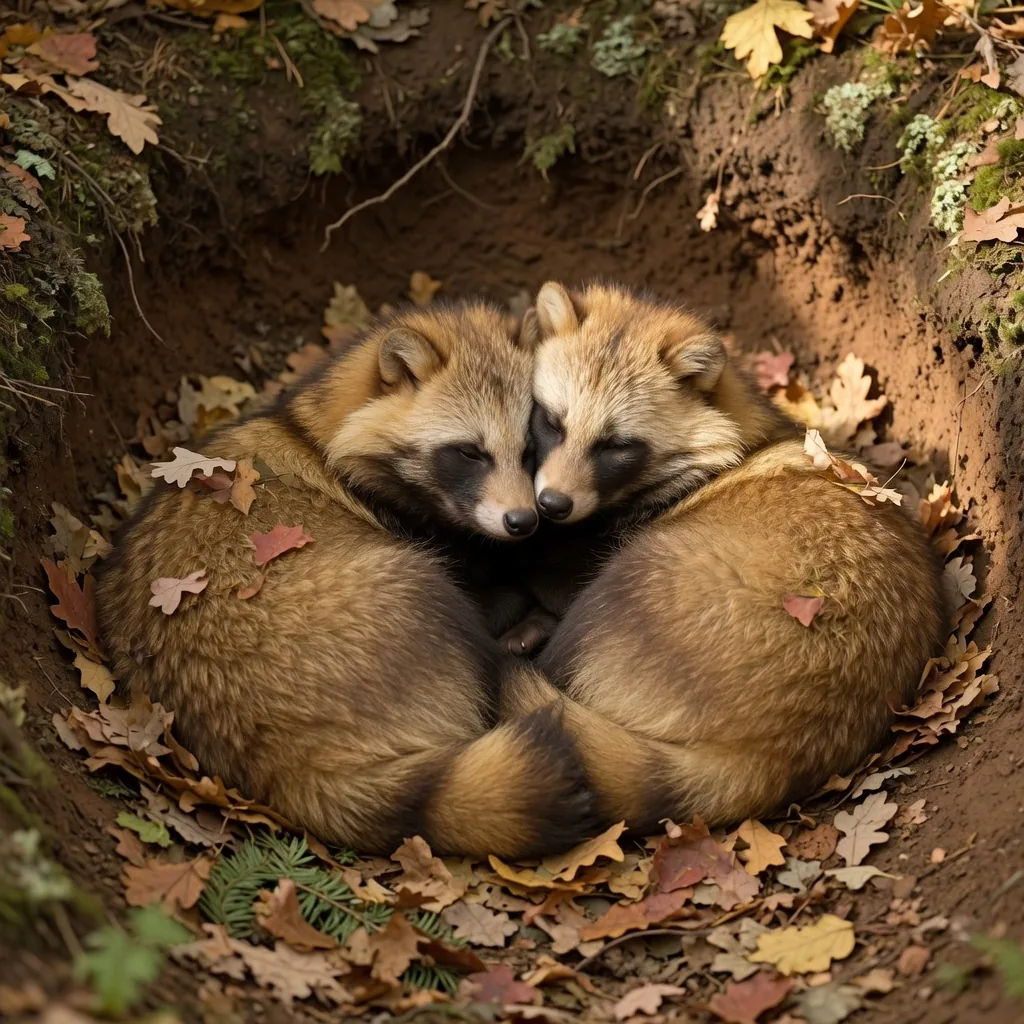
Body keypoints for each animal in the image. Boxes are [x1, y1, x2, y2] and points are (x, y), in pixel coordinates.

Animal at [97, 301, 597, 858]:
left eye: (531, 449)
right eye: (470, 453)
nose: (524, 522)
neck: (314, 431)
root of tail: (295, 763)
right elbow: (482, 586)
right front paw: (518, 595)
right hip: (403, 590)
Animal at [503, 281, 947, 831]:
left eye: (616, 446)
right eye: (551, 422)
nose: (551, 505)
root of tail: (770, 752)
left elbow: (554, 577)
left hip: (642, 580)